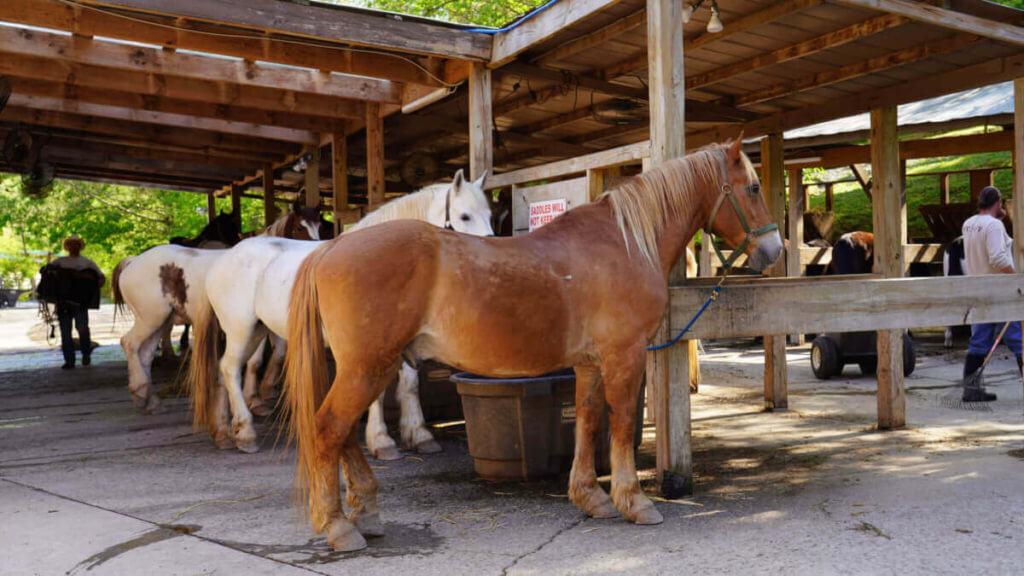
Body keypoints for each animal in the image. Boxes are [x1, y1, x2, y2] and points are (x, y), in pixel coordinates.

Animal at [111, 210, 322, 413]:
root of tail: (132, 262)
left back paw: (149, 400)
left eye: (319, 226)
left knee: (145, 355)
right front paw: (254, 400)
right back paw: (140, 391)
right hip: (150, 319)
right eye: (300, 227)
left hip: (160, 322)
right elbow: (255, 362)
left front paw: (266, 391)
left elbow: (279, 354)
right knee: (129, 343)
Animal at [189, 170, 492, 453]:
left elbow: (409, 383)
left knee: (224, 370)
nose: (486, 254)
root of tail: (222, 261)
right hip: (241, 329)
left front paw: (418, 435)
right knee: (230, 369)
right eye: (465, 216)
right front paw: (381, 441)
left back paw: (224, 433)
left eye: (489, 214)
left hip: (256, 331)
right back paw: (246, 433)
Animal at [283, 138, 783, 552]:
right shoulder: (624, 356)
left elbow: (587, 421)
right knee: (328, 428)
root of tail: (331, 249)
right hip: (367, 367)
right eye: (754, 187)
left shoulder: (590, 364)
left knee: (343, 433)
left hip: (369, 367)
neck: (622, 243)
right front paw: (634, 501)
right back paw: (338, 526)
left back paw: (365, 514)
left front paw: (590, 497)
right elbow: (621, 423)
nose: (775, 250)